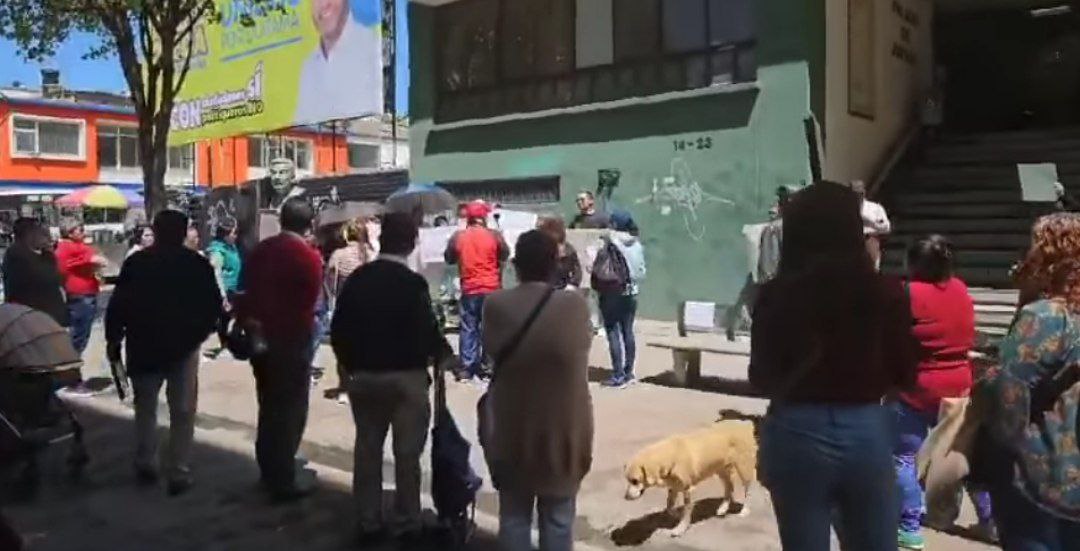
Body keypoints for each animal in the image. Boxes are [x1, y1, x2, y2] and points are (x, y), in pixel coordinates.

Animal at [622, 419, 756, 535]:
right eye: (628, 480)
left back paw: (745, 510)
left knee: (748, 490)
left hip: (744, 468)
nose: (626, 497)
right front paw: (676, 514)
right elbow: (669, 505)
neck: (670, 458)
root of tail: (745, 423)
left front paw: (680, 529)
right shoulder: (674, 486)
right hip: (720, 469)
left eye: (635, 481)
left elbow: (686, 512)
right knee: (729, 486)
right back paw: (723, 508)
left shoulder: (688, 489)